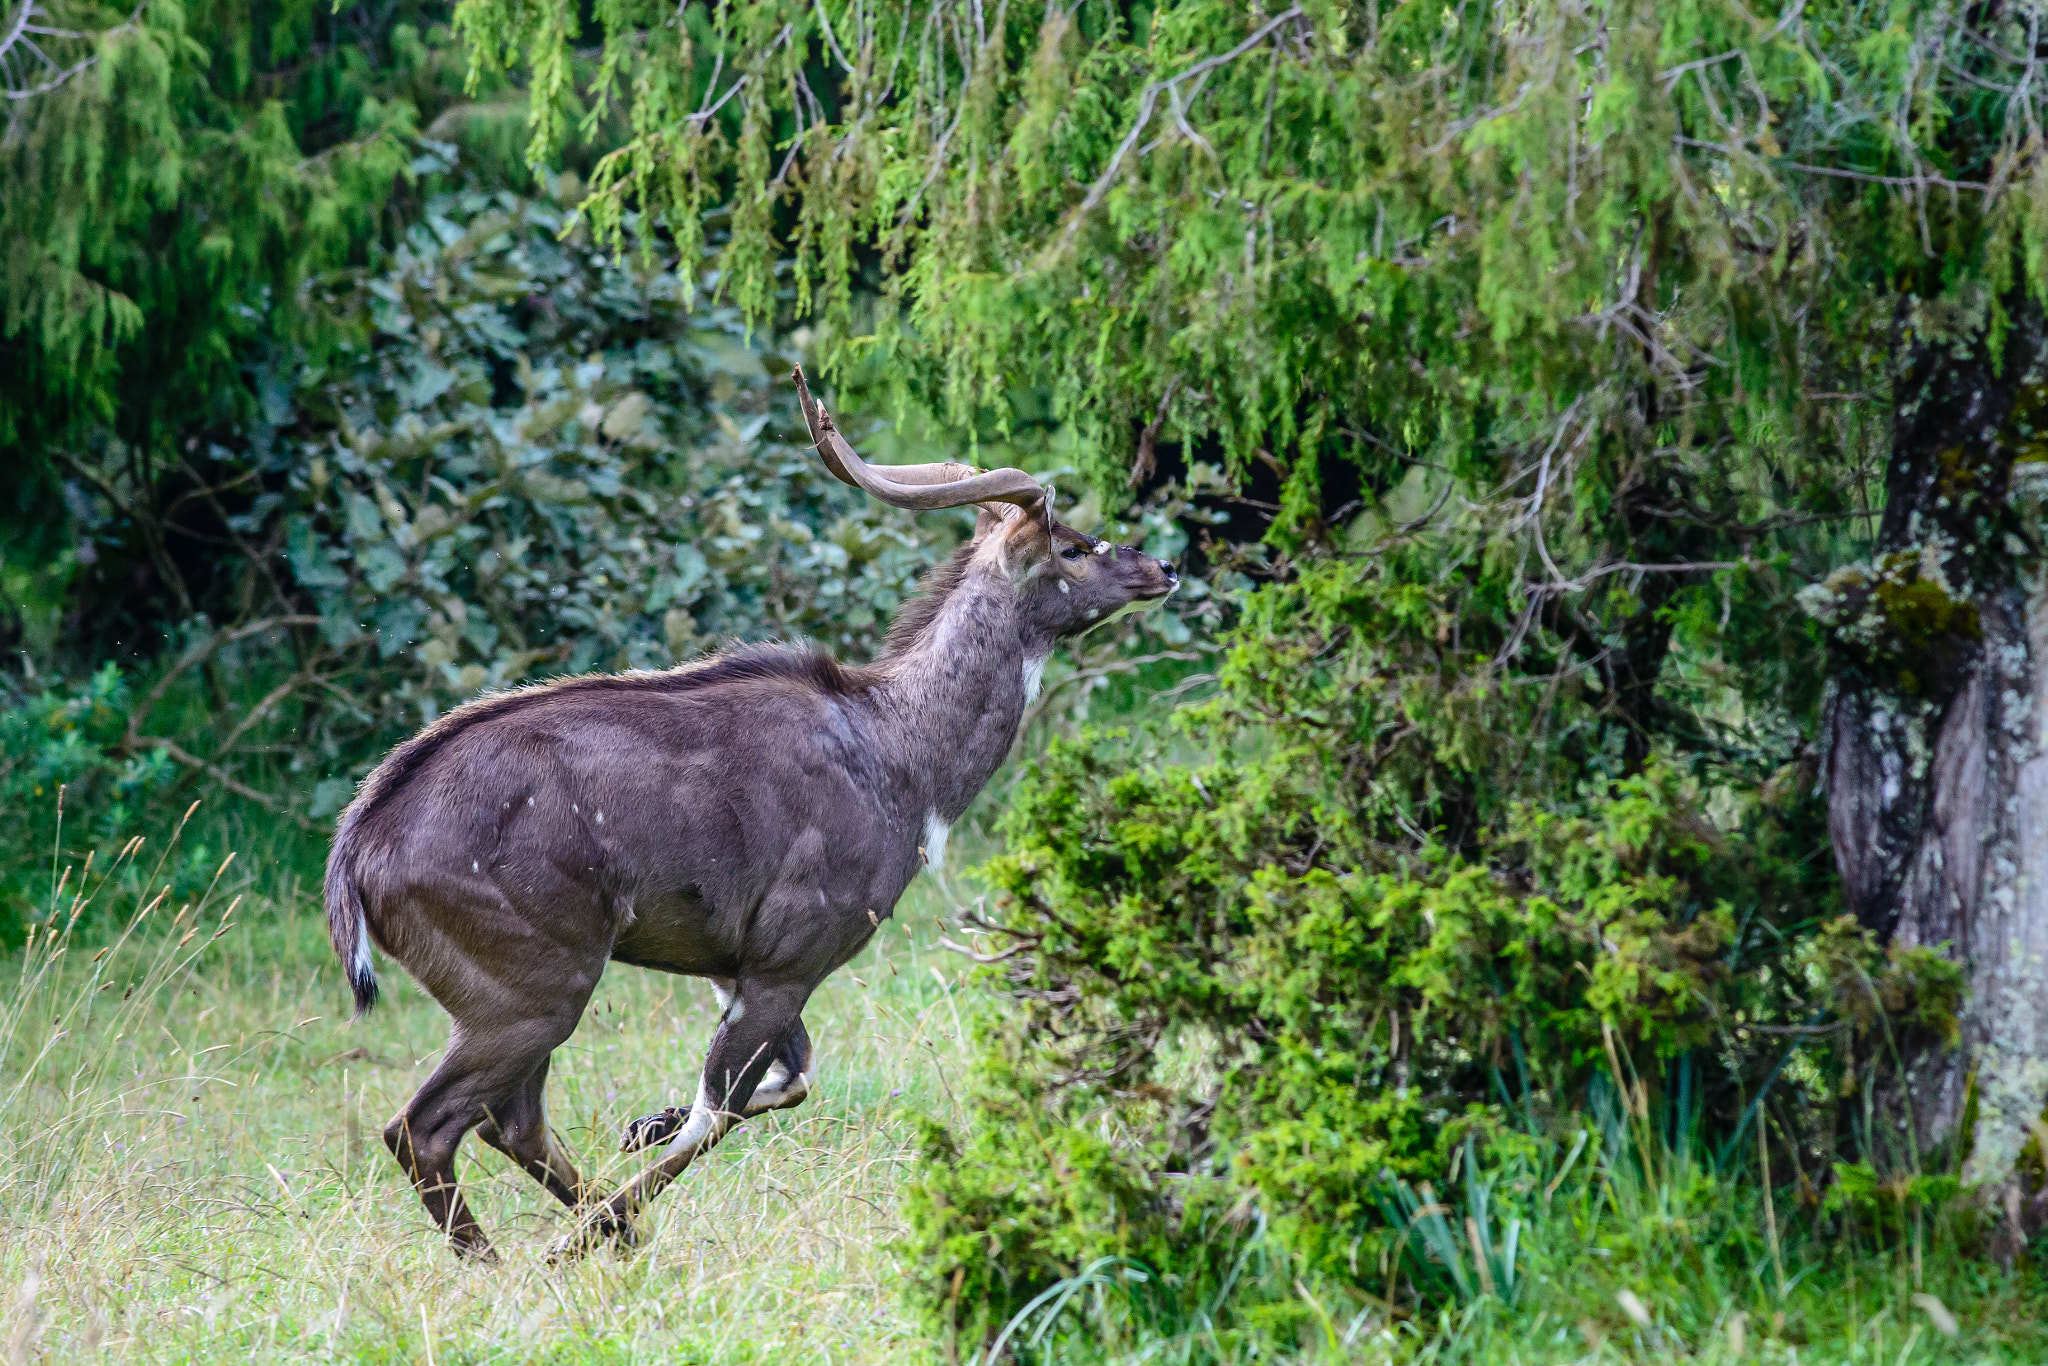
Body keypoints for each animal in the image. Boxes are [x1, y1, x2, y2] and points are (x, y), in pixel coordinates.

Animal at [321, 368, 1187, 1269]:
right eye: (1075, 547)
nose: (1165, 566)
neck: (898, 754)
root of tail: (359, 850)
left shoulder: (738, 966)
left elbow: (786, 1079)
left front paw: (636, 1142)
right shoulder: (789, 962)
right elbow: (729, 1099)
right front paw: (603, 1207)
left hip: (524, 998)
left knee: (506, 1120)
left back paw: (596, 1232)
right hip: (534, 991)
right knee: (426, 1126)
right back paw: (531, 1255)